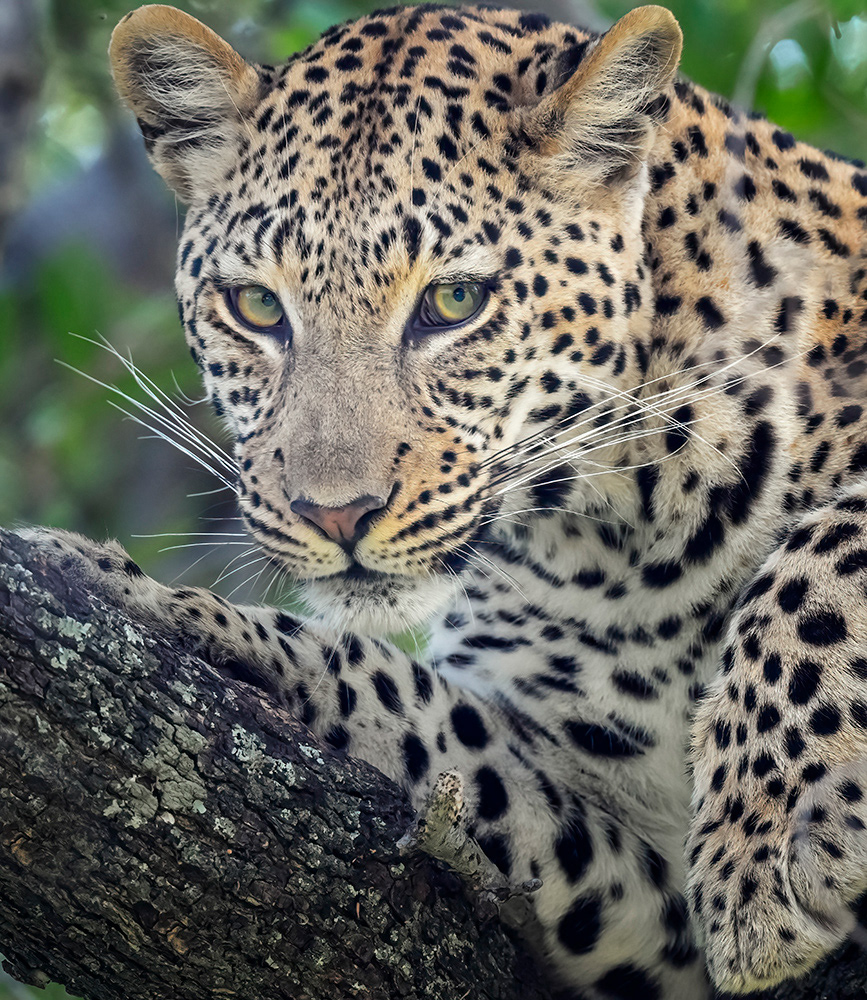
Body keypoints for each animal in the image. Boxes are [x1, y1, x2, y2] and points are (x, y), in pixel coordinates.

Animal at [18, 2, 867, 998]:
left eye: (455, 301)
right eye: (257, 308)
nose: (335, 514)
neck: (617, 540)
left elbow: (825, 548)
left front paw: (766, 842)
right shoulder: (645, 907)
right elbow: (418, 708)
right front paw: (144, 600)